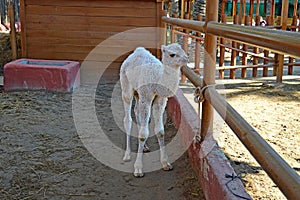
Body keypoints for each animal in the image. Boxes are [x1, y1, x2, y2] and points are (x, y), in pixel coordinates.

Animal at [119, 42, 188, 177]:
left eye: (182, 50)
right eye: (172, 54)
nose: (186, 58)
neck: (158, 78)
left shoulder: (160, 99)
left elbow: (160, 131)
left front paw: (166, 163)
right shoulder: (146, 96)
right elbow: (143, 135)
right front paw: (138, 169)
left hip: (138, 93)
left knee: (137, 112)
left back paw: (145, 147)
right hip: (126, 87)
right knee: (128, 119)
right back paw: (127, 155)